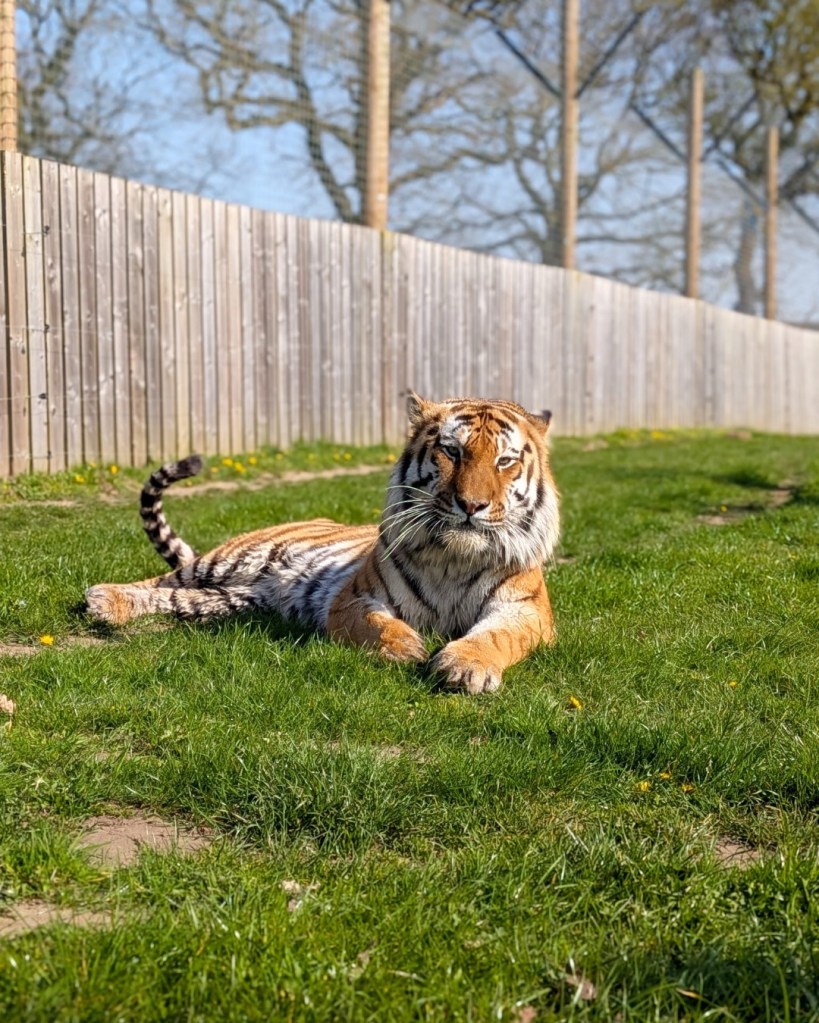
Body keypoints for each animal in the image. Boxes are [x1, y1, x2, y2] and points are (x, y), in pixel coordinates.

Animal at [85, 394, 560, 694]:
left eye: (505, 460)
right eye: (452, 451)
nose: (472, 505)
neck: (454, 558)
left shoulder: (525, 610)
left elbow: (497, 636)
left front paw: (465, 665)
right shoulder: (354, 598)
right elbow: (378, 625)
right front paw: (406, 648)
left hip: (231, 599)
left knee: (177, 598)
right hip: (229, 559)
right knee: (161, 580)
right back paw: (103, 598)